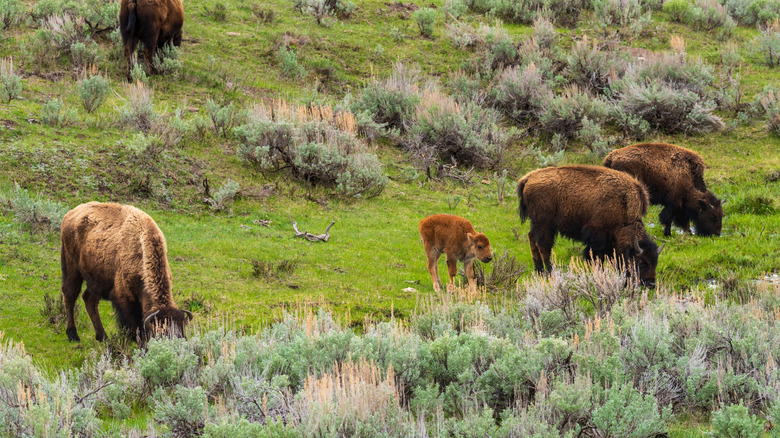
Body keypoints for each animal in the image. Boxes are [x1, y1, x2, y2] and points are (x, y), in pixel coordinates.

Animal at [60, 202, 191, 344]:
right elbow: (134, 324)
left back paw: (102, 336)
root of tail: (70, 214)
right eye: (161, 334)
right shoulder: (124, 299)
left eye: (182, 333)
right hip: (72, 269)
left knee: (89, 299)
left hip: (97, 280)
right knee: (69, 296)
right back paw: (73, 335)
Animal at [517, 165, 662, 287]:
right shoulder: (597, 237)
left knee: (533, 239)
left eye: (655, 262)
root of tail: (528, 178)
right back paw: (550, 273)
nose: (651, 284)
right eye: (641, 262)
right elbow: (596, 257)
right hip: (545, 225)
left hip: (538, 224)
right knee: (544, 246)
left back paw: (539, 271)